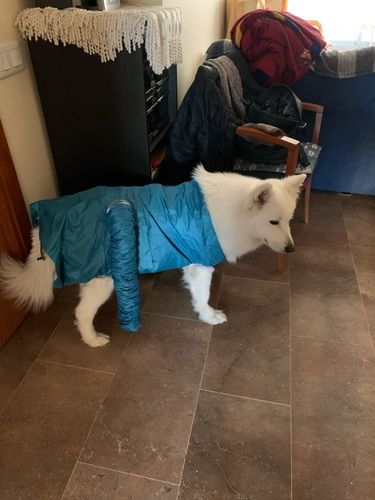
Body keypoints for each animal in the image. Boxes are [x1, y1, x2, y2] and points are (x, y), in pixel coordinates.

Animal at [0, 168, 306, 348]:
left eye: (289, 220)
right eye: (273, 221)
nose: (292, 249)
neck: (230, 212)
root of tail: (41, 224)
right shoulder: (200, 266)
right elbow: (203, 296)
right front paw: (209, 317)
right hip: (105, 280)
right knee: (82, 312)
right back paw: (93, 340)